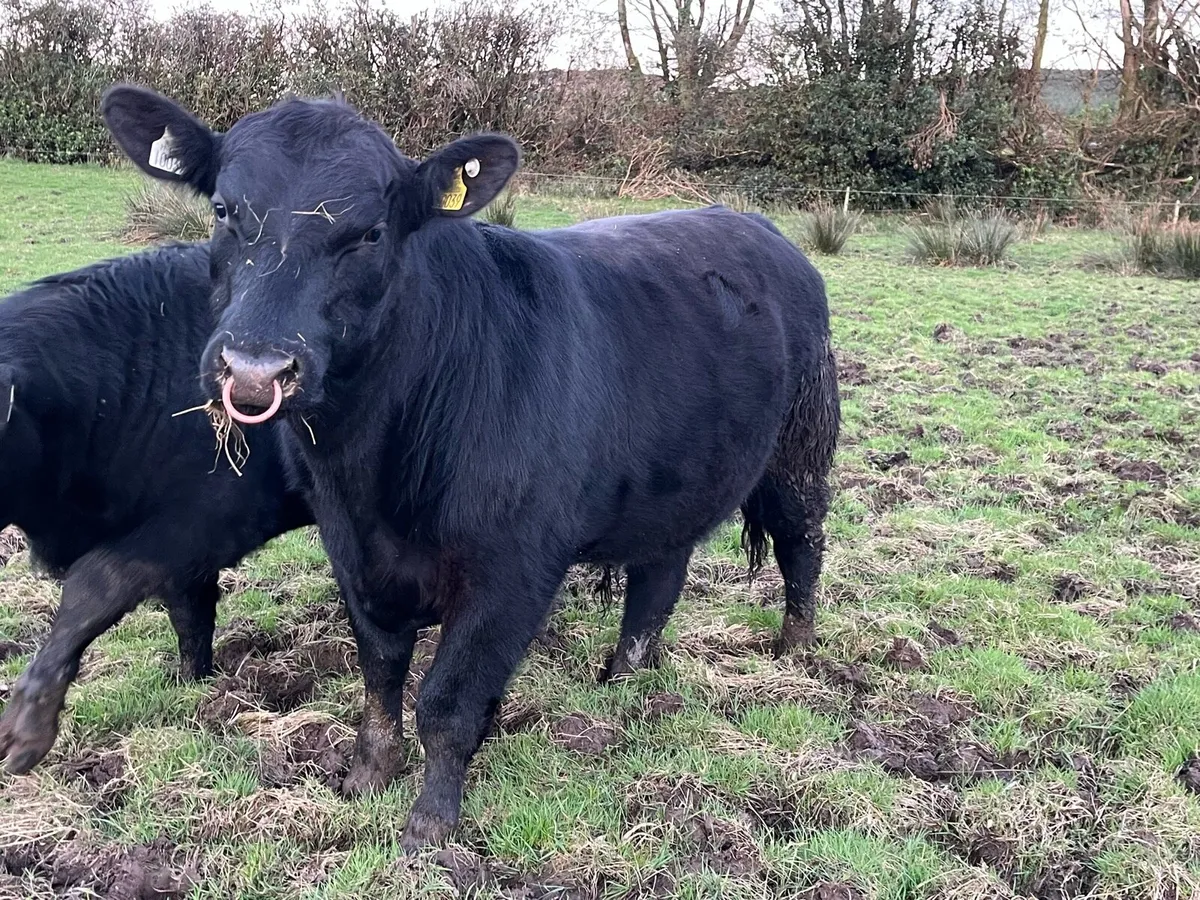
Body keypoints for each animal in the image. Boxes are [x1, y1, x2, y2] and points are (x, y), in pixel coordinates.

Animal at [101, 85, 840, 850]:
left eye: (371, 233)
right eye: (223, 210)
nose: (253, 369)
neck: (376, 478)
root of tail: (752, 223)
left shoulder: (513, 571)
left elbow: (448, 702)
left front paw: (430, 823)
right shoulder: (352, 554)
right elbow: (380, 672)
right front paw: (368, 774)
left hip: (801, 445)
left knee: (802, 542)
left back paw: (795, 650)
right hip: (675, 480)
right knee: (659, 575)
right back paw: (622, 678)